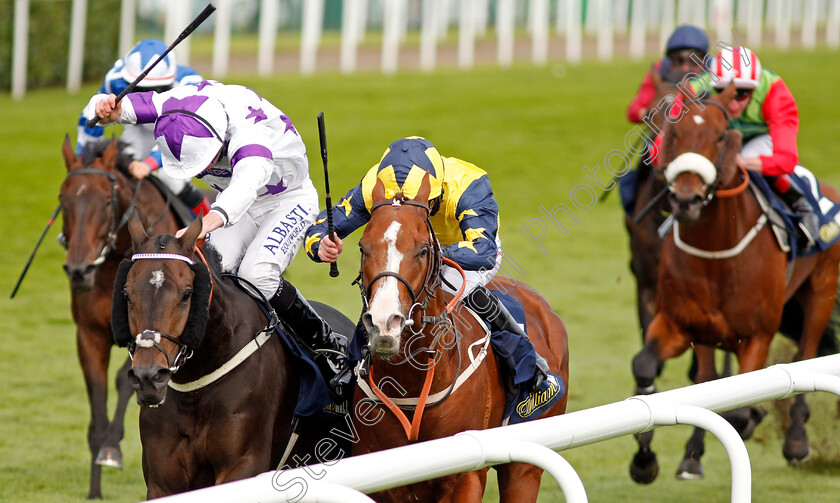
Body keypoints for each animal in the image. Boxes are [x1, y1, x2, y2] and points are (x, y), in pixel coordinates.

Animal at [58, 138, 180, 500]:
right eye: (63, 200)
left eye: (106, 200)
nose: (79, 270)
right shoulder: (89, 335)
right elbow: (97, 412)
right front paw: (94, 488)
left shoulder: (151, 336)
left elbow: (127, 381)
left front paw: (112, 449)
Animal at [352, 175, 576, 502]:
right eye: (362, 247)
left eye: (423, 249)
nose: (384, 323)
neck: (412, 379)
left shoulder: (465, 473)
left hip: (525, 465)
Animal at [632, 85, 840, 484]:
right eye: (674, 133)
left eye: (718, 136)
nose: (686, 200)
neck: (717, 250)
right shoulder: (681, 323)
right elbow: (647, 367)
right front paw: (644, 458)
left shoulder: (756, 335)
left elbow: (740, 408)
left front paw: (754, 417)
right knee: (707, 378)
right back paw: (693, 454)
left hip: (821, 292)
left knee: (805, 354)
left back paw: (796, 441)